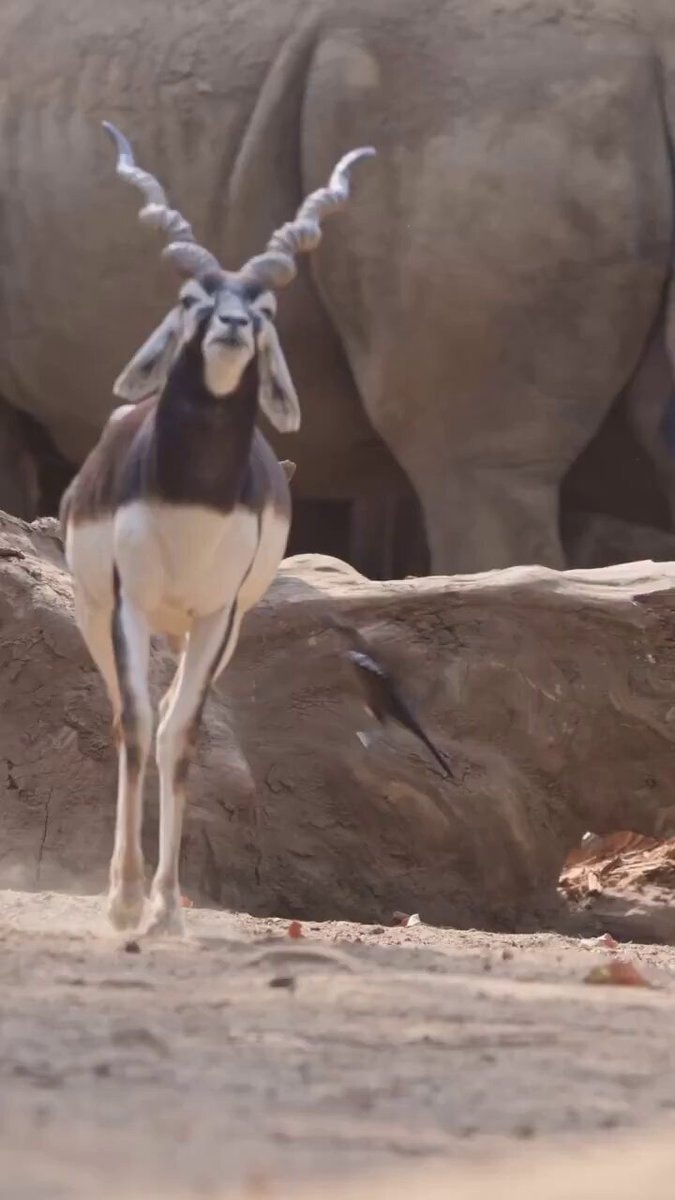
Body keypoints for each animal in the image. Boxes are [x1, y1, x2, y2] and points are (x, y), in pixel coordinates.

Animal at [60, 123, 375, 936]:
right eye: (191, 298)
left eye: (265, 307)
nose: (231, 327)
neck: (191, 501)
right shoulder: (128, 605)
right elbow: (139, 725)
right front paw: (126, 899)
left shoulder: (217, 615)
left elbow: (182, 736)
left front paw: (168, 905)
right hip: (97, 614)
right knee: (125, 719)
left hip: (207, 632)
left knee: (174, 719)